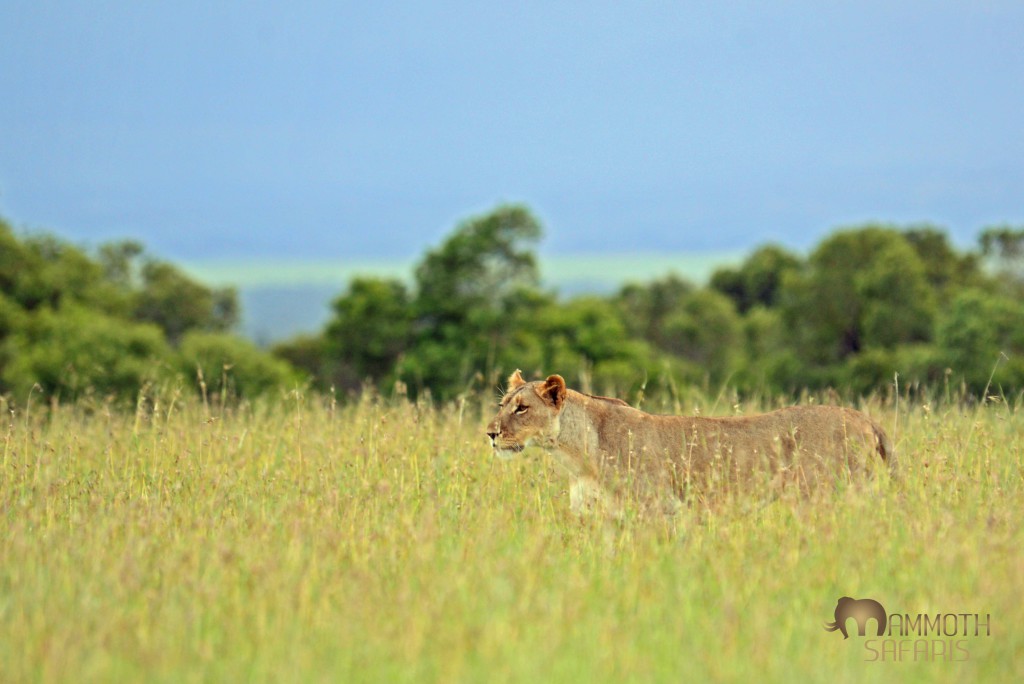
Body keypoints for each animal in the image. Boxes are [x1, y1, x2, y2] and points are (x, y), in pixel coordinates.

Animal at [486, 370, 895, 516]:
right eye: (503, 405)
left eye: (522, 408)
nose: (490, 433)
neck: (576, 455)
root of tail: (865, 418)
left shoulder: (653, 511)